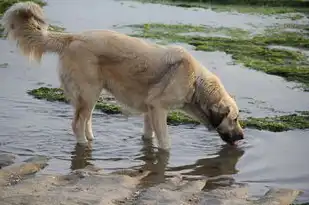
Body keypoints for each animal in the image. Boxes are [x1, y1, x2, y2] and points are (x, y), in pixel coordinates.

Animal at [2, 0, 243, 150]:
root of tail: (72, 37)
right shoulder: (159, 108)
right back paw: (83, 145)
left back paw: (91, 140)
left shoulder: (150, 111)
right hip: (89, 93)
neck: (196, 82)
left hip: (90, 96)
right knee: (77, 124)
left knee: (86, 120)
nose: (242, 136)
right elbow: (165, 143)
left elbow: (148, 136)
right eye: (234, 119)